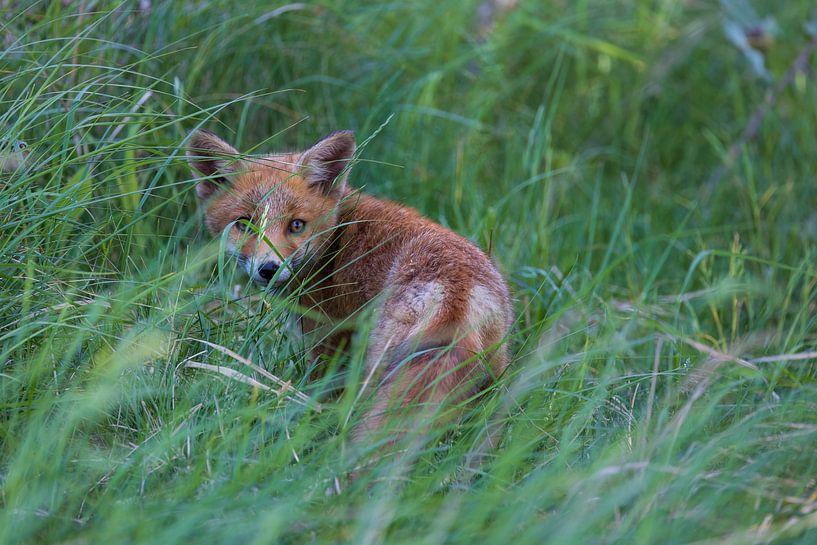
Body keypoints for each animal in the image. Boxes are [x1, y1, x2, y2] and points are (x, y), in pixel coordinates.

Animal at [187, 129, 513, 445]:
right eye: (246, 224)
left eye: (296, 225)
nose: (269, 269)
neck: (335, 240)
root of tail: (456, 291)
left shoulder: (328, 339)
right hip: (490, 378)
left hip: (378, 365)